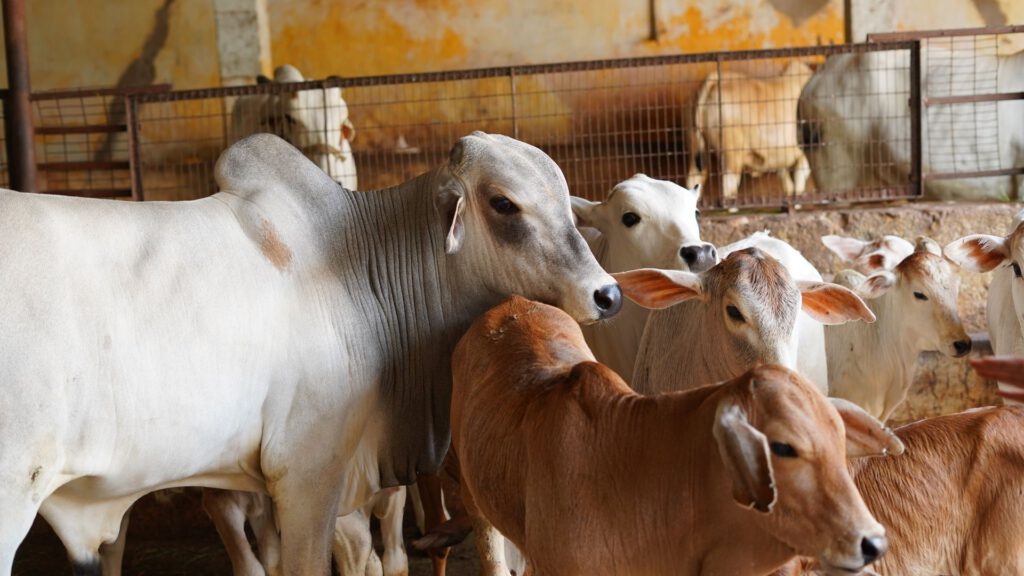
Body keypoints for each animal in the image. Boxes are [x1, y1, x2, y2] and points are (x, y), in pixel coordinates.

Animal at [686, 61, 814, 203]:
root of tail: (715, 81)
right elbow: (801, 173)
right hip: (732, 154)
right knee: (728, 188)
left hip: (697, 148)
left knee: (694, 179)